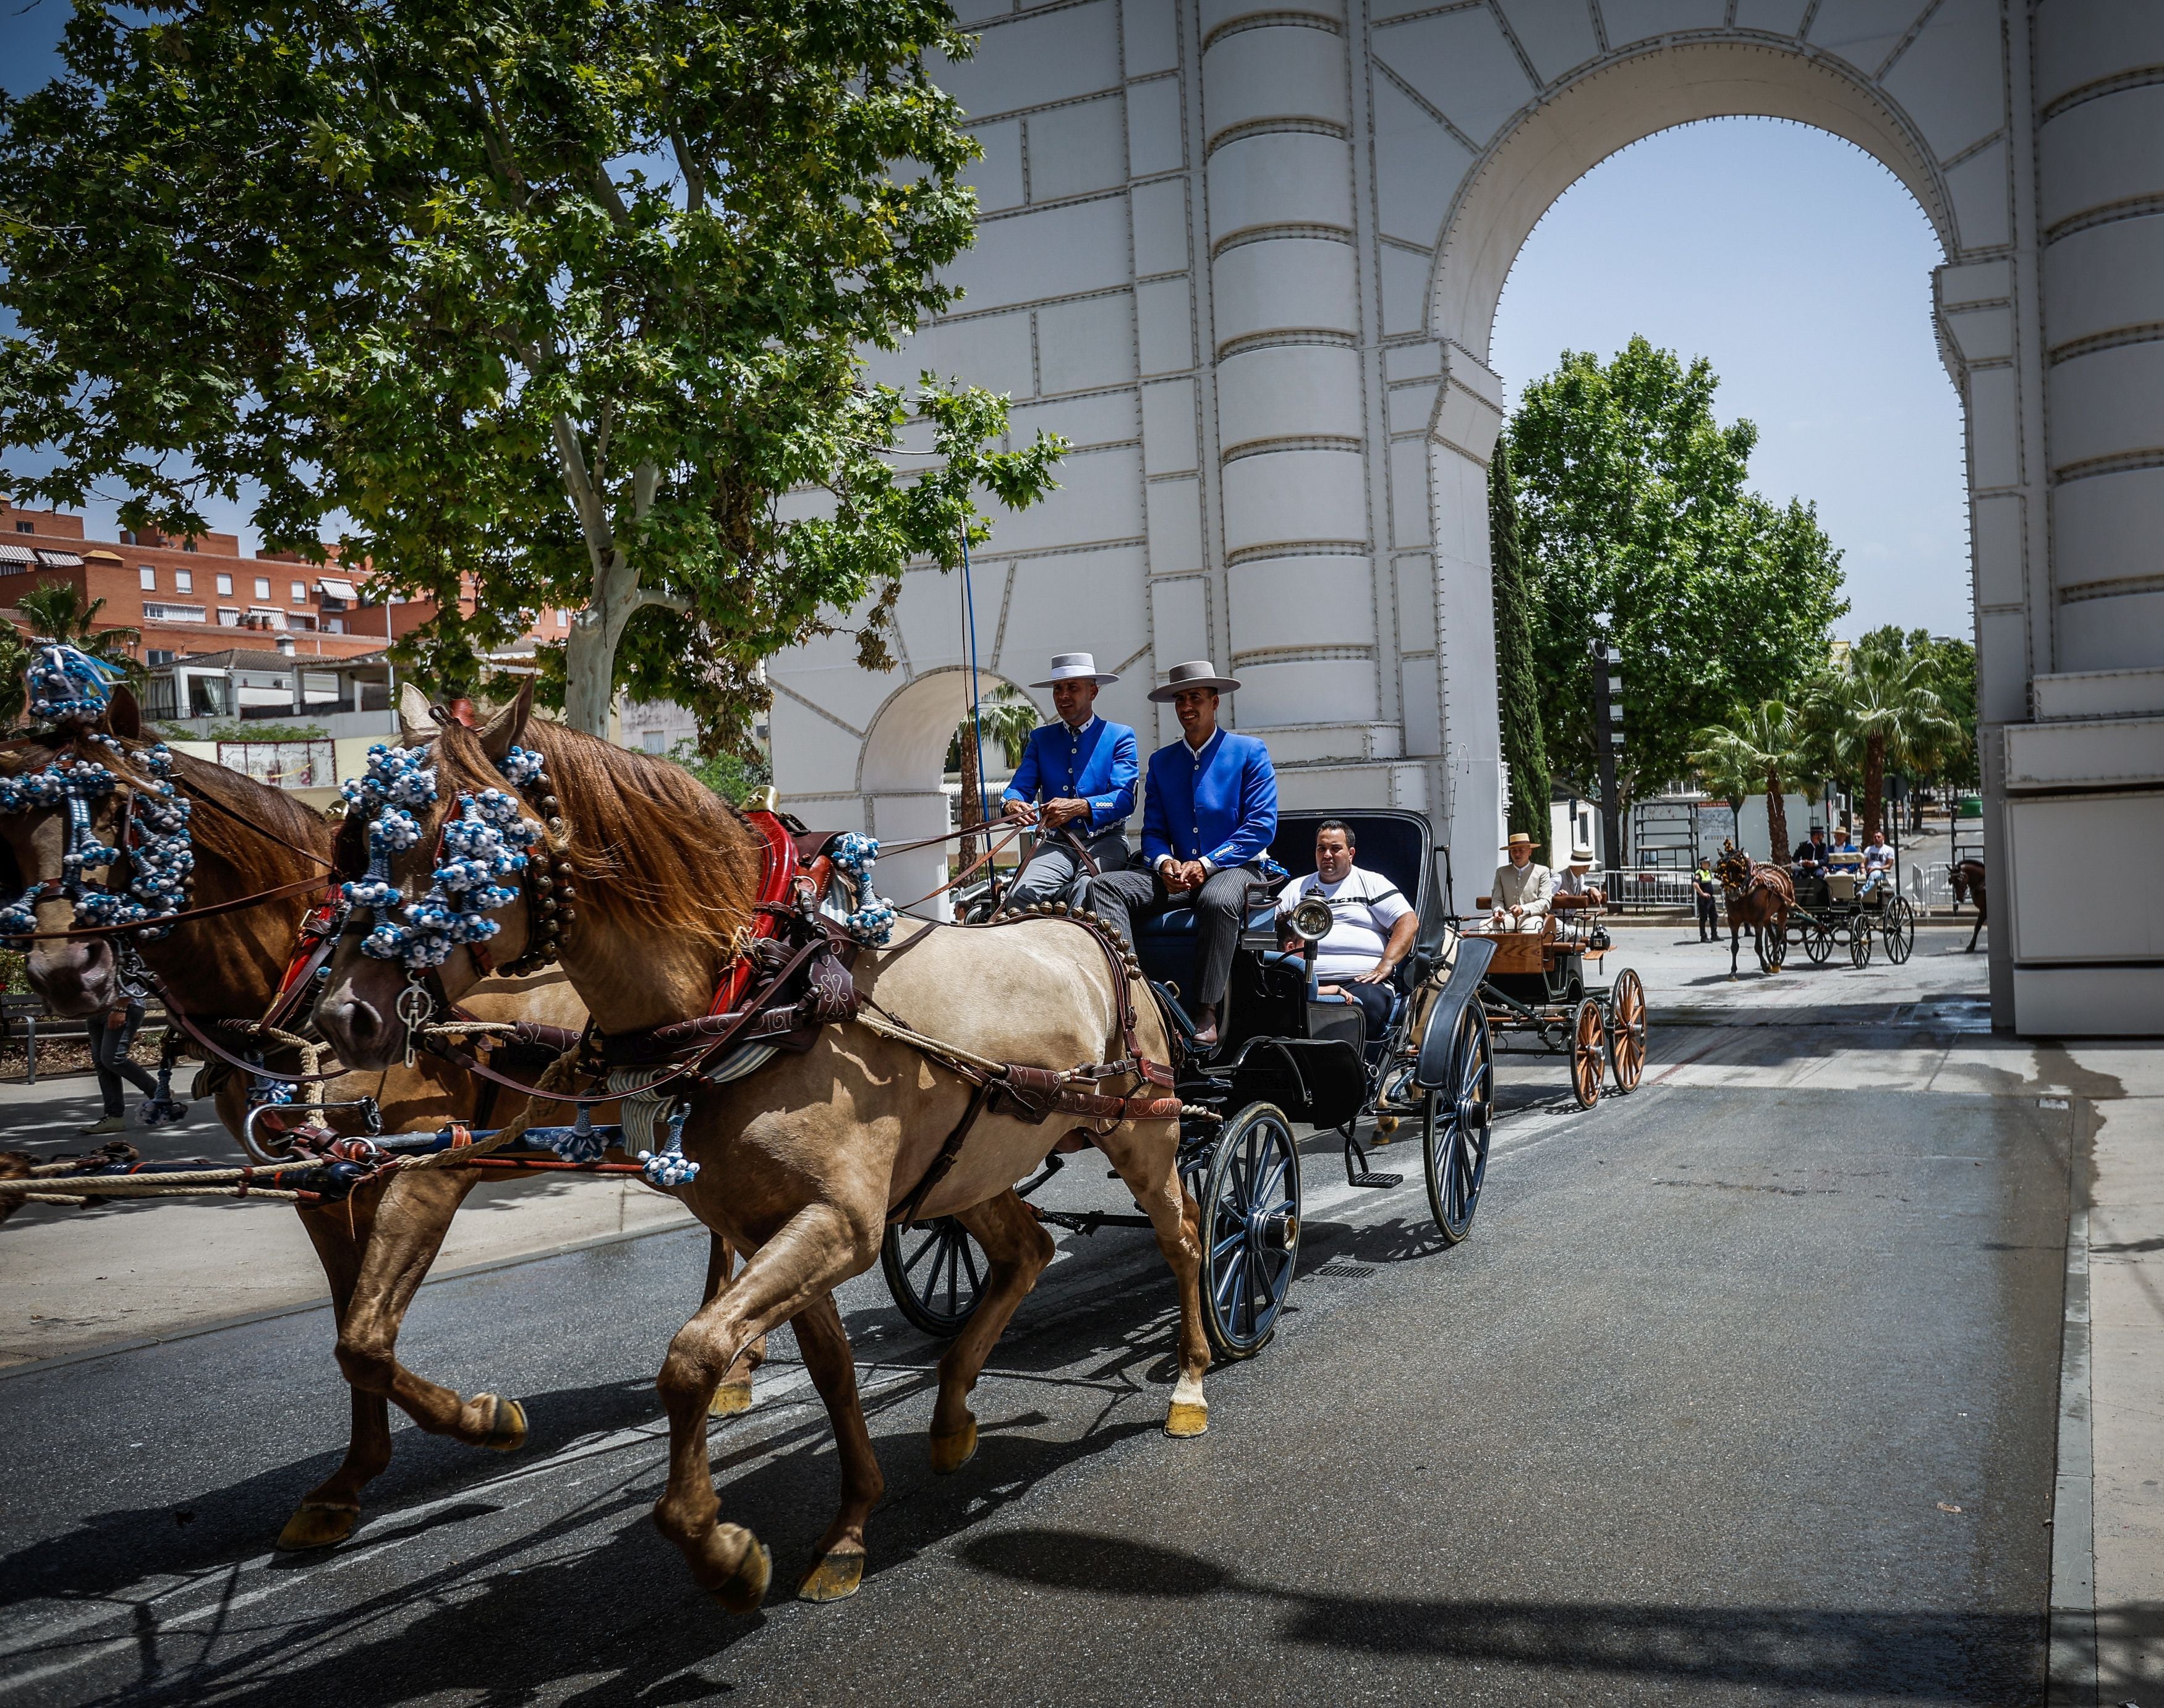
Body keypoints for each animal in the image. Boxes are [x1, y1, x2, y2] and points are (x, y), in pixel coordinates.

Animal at [0, 701, 766, 1550]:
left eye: (120, 808)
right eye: (13, 821)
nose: (66, 974)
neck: (291, 979)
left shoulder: (432, 1166)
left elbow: (366, 1339)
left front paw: (481, 1420)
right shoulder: (325, 1181)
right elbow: (350, 1330)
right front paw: (348, 1482)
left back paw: (736, 1364)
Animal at [313, 684, 1212, 1610]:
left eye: (461, 845)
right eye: (351, 842)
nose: (345, 1017)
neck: (757, 988)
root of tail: (1084, 922)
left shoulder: (839, 1224)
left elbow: (692, 1357)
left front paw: (719, 1547)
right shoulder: (770, 1224)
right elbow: (829, 1370)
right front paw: (850, 1523)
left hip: (1145, 1128)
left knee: (1183, 1235)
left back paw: (1189, 1379)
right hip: (972, 1167)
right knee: (1026, 1250)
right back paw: (953, 1410)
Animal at [1705, 839, 1792, 974]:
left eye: (1738, 868)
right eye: (1723, 870)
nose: (1732, 892)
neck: (1744, 894)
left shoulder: (1757, 922)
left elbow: (1758, 947)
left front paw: (1765, 966)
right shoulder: (1733, 921)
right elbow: (1734, 947)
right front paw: (1733, 972)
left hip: (1783, 909)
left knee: (1779, 935)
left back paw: (1776, 961)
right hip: (1767, 916)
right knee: (1773, 937)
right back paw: (1775, 959)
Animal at [1956, 861, 1982, 952]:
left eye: (1959, 881)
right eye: (1951, 881)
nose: (1959, 898)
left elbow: (1977, 926)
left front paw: (1971, 946)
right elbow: (1977, 926)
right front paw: (1971, 946)